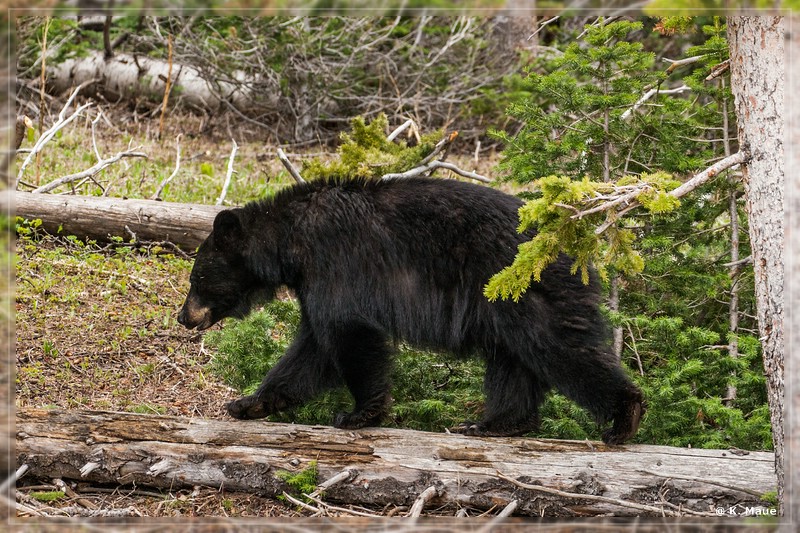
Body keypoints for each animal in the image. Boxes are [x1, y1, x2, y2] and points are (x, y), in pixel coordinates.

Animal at [180, 177, 644, 442]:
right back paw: (495, 423)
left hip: (526, 289)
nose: (184, 316)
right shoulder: (313, 281)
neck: (291, 241)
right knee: (513, 360)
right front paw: (249, 403)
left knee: (561, 347)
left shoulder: (336, 262)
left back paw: (625, 417)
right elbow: (311, 348)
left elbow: (347, 333)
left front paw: (358, 413)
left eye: (196, 278)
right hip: (504, 303)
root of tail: (575, 241)